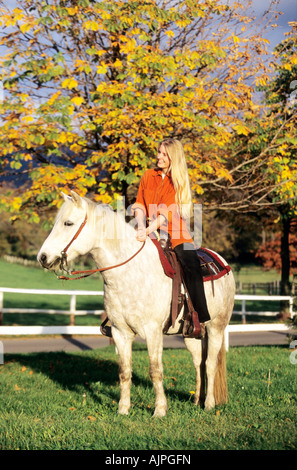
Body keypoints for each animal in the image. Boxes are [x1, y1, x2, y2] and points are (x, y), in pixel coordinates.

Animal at [38, 193, 235, 416]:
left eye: (68, 223)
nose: (42, 257)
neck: (130, 272)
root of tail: (221, 261)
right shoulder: (120, 332)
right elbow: (124, 371)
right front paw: (123, 409)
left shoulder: (153, 331)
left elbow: (155, 370)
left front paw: (160, 410)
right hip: (192, 334)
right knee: (198, 363)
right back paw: (197, 401)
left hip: (216, 328)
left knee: (210, 363)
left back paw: (209, 404)